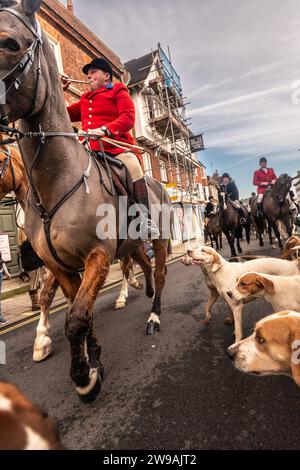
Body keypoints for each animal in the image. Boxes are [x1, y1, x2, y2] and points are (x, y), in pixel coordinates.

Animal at [0, 0, 171, 404]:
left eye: (10, 43)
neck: (55, 184)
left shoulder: (96, 255)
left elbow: (76, 318)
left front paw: (84, 377)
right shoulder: (58, 265)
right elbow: (75, 310)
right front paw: (91, 358)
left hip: (157, 238)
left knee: (158, 271)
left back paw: (153, 314)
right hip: (127, 244)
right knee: (140, 265)